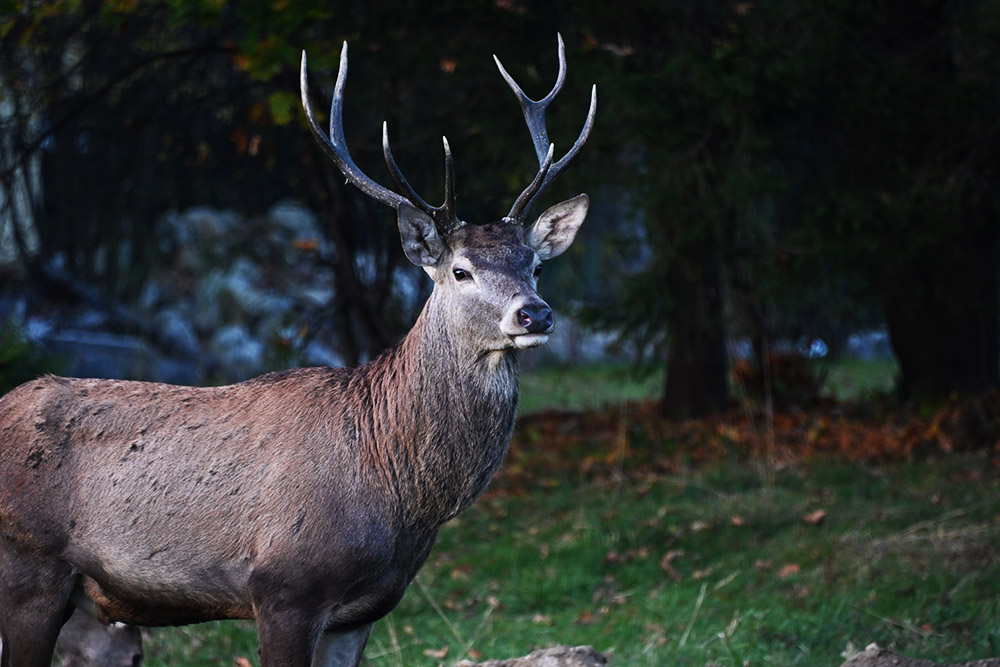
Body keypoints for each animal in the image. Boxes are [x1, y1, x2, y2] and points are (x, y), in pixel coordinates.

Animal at [0, 35, 595, 667]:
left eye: (534, 265)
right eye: (461, 270)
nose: (535, 313)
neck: (400, 492)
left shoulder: (362, 612)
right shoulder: (285, 586)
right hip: (28, 564)